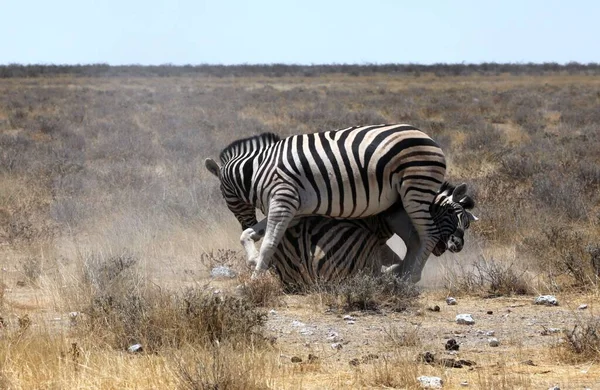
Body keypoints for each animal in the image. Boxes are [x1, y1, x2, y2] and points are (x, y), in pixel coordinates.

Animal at [252, 181, 474, 288]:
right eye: (450, 213)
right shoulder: (381, 232)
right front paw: (404, 273)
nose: (458, 244)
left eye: (467, 223)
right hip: (363, 242)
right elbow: (400, 254)